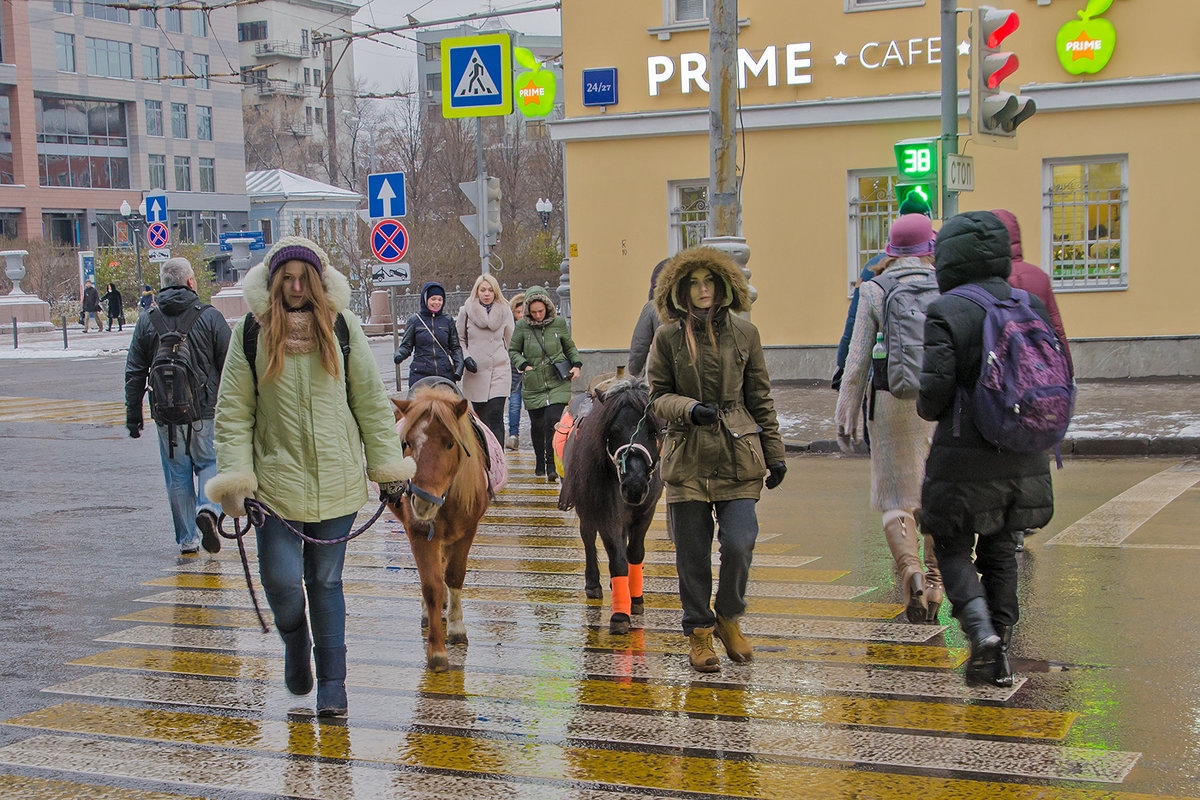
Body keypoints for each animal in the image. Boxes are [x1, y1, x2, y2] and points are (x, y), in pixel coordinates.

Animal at [391, 383, 489, 671]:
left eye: (450, 443)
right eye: (407, 443)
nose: (423, 503)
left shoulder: (467, 531)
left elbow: (454, 576)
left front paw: (456, 628)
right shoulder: (420, 533)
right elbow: (431, 585)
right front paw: (436, 651)